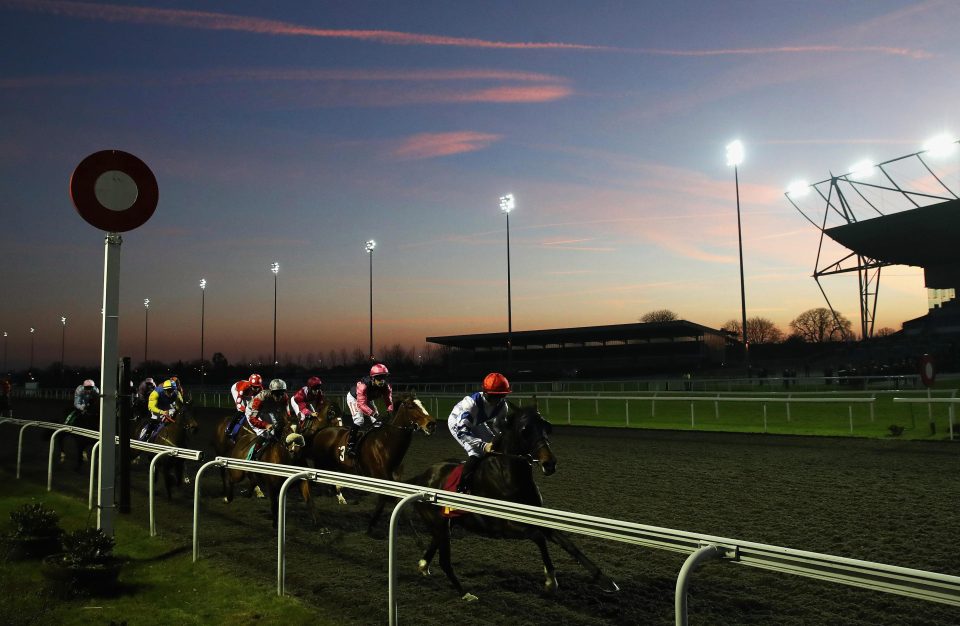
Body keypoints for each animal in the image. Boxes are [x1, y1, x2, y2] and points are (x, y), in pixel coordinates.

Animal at [308, 392, 436, 528]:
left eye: (422, 404)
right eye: (411, 406)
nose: (431, 424)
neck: (386, 444)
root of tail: (321, 431)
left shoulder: (394, 480)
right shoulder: (381, 479)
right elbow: (385, 502)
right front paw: (370, 526)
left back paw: (340, 496)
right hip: (323, 462)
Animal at [404, 404, 616, 600]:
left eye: (547, 426)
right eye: (524, 430)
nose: (549, 463)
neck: (508, 475)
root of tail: (422, 476)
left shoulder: (538, 517)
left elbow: (567, 543)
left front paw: (604, 580)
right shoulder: (502, 527)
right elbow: (538, 536)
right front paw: (550, 581)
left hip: (446, 522)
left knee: (436, 544)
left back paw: (424, 566)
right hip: (439, 523)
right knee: (444, 560)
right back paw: (465, 593)